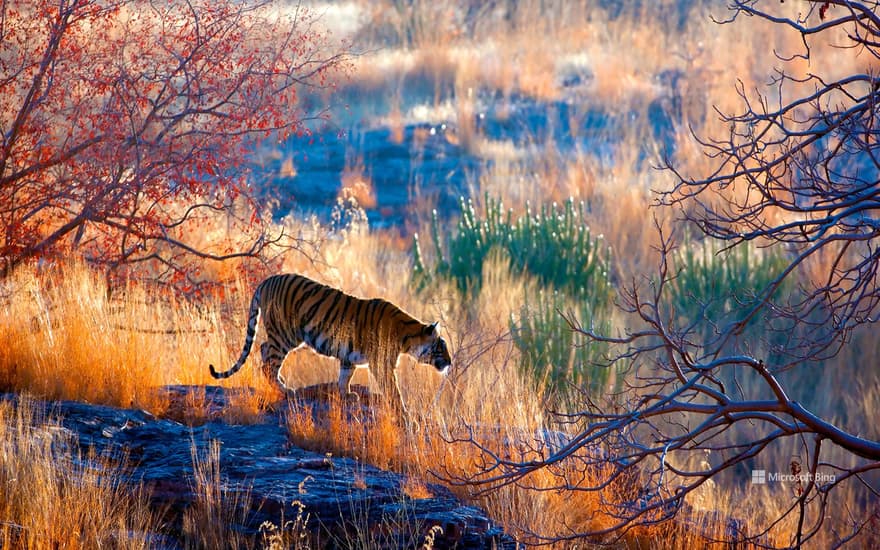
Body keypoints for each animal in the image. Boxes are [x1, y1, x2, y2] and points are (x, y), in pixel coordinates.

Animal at [210, 274, 450, 416]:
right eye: (441, 348)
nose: (449, 362)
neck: (407, 337)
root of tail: (268, 280)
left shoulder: (348, 358)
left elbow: (345, 377)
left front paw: (347, 395)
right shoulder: (382, 365)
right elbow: (393, 390)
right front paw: (404, 413)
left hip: (283, 335)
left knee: (263, 350)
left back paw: (281, 382)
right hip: (285, 334)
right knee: (268, 361)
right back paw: (286, 389)